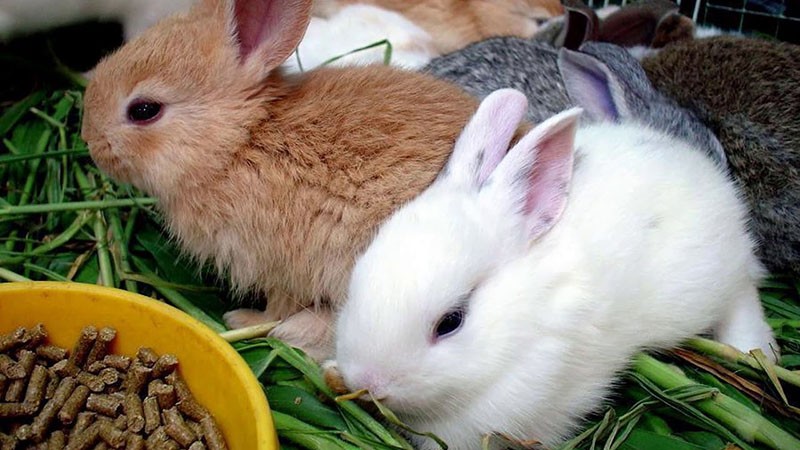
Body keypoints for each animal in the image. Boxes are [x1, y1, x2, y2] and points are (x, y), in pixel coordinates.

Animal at [332, 52, 776, 446]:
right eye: (356, 280)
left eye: (451, 321)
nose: (368, 381)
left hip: (709, 282)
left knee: (741, 294)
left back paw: (758, 349)